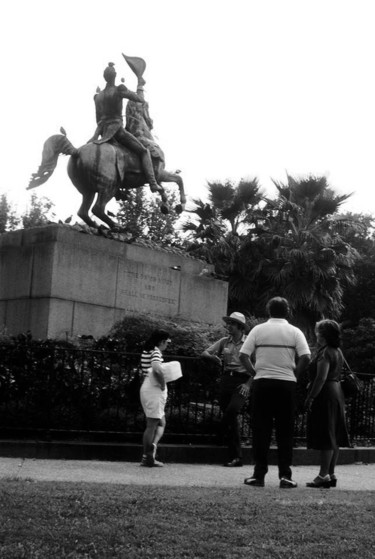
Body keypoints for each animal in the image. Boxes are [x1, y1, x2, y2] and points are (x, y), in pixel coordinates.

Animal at [28, 99, 187, 229]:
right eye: (147, 106)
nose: (151, 122)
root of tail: (76, 152)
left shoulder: (158, 175)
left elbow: (171, 184)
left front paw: (168, 205)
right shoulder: (159, 174)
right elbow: (176, 180)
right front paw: (178, 204)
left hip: (88, 190)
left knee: (83, 212)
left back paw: (99, 227)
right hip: (109, 186)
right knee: (97, 209)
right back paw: (117, 227)